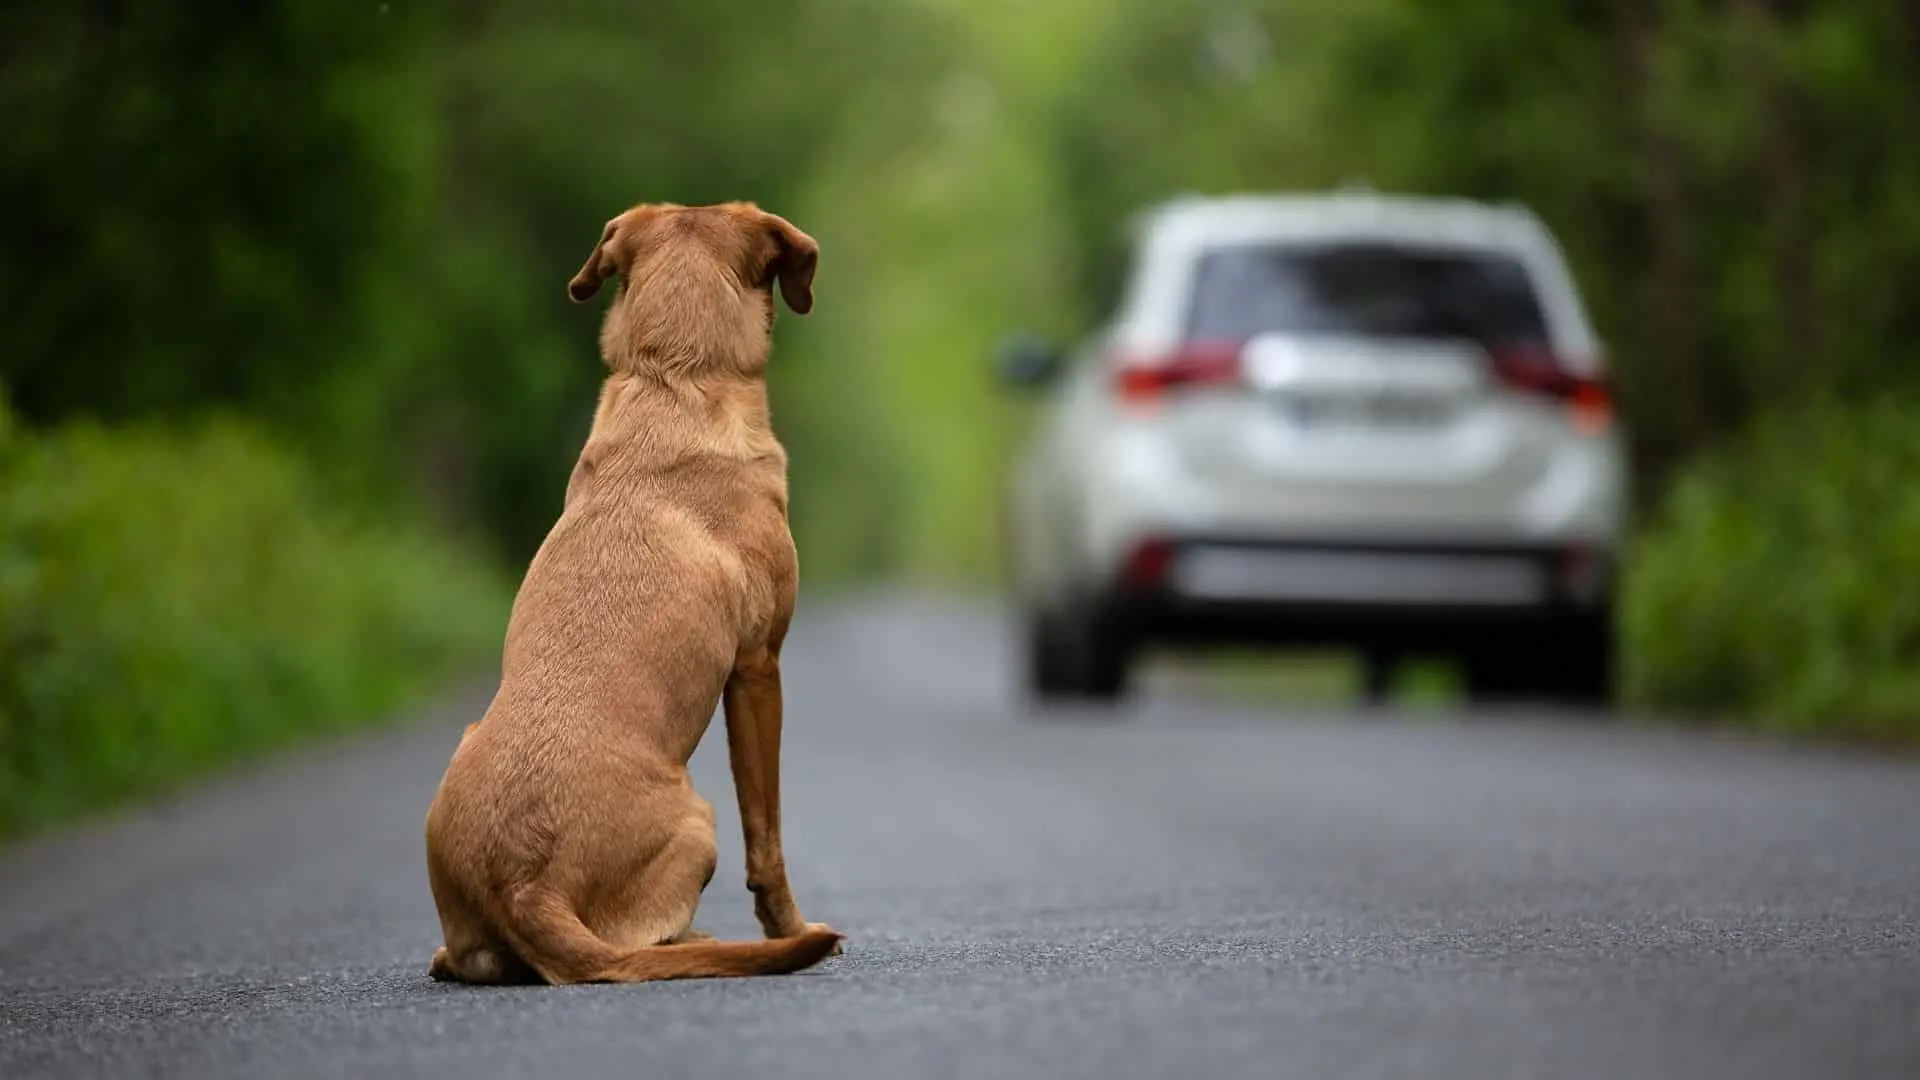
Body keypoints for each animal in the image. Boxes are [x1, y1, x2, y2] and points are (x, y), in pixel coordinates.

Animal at [424, 199, 844, 983]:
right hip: (699, 820)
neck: (674, 376)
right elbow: (767, 836)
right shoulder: (758, 669)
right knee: (645, 941)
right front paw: (791, 926)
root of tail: (524, 884)